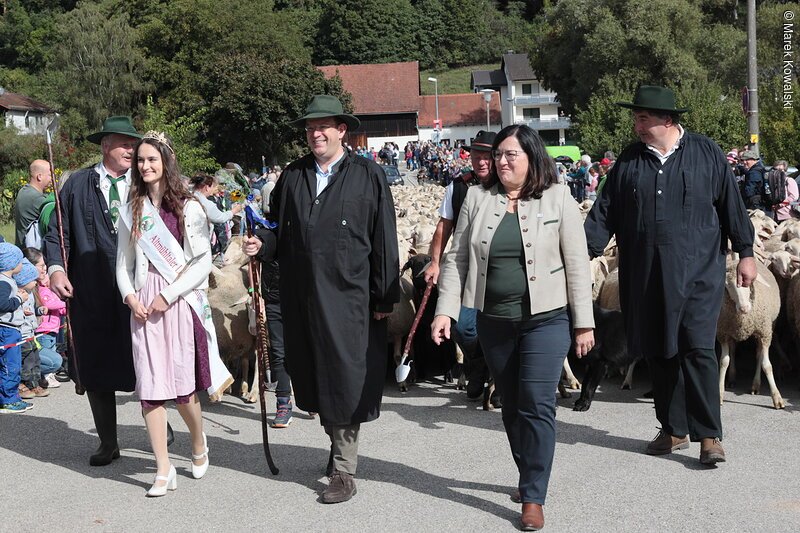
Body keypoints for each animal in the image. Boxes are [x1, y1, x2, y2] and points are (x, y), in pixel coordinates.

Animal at [716, 256, 784, 410]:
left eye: (747, 283)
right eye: (727, 286)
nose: (744, 308)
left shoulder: (765, 333)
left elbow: (767, 365)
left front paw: (777, 398)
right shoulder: (723, 333)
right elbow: (724, 362)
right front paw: (720, 394)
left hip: (767, 327)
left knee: (758, 355)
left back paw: (756, 385)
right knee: (734, 350)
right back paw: (732, 378)